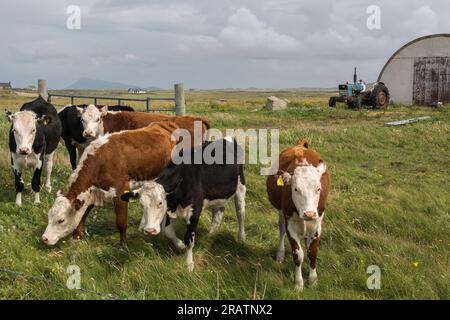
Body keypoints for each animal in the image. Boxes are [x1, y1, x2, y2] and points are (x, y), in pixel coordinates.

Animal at [42, 120, 200, 248]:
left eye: (61, 220)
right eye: (49, 216)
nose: (44, 238)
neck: (100, 161)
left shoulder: (120, 192)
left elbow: (121, 222)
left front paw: (123, 244)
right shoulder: (93, 191)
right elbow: (84, 213)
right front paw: (76, 236)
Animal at [119, 139, 246, 272]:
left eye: (160, 202)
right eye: (141, 205)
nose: (149, 230)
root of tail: (225, 140)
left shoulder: (194, 211)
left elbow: (189, 239)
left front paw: (189, 264)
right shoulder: (170, 209)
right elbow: (168, 231)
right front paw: (180, 245)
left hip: (241, 187)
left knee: (240, 214)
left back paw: (241, 238)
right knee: (218, 212)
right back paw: (209, 235)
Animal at [266, 139, 328, 292]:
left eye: (318, 188)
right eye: (295, 189)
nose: (309, 213)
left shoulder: (317, 223)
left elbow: (312, 252)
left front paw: (313, 280)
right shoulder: (291, 224)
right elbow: (298, 255)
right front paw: (299, 284)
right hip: (281, 213)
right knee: (281, 229)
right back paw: (280, 254)